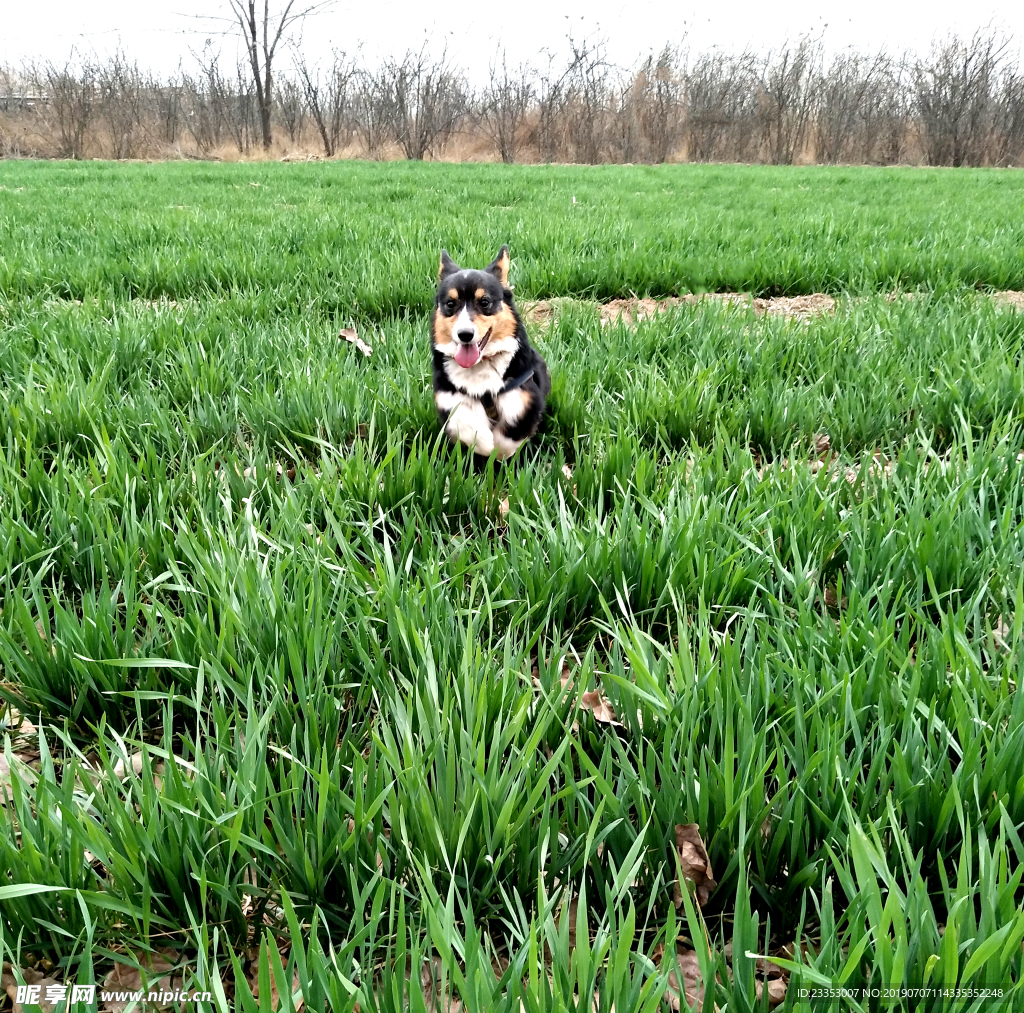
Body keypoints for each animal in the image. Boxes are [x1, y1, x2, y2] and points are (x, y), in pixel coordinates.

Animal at [428, 245, 548, 458]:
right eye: (450, 304)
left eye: (484, 302)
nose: (465, 334)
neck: (481, 365)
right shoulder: (448, 398)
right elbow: (464, 423)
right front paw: (483, 443)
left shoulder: (525, 398)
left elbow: (512, 434)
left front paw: (499, 451)